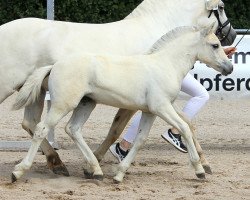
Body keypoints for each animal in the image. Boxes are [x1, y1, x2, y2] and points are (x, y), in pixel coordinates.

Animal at [0, 0, 235, 175]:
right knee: (36, 125)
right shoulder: (144, 101)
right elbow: (116, 129)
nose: (231, 36)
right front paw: (100, 160)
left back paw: (56, 163)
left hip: (37, 92)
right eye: (222, 7)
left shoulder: (159, 100)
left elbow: (188, 123)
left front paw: (204, 162)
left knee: (31, 123)